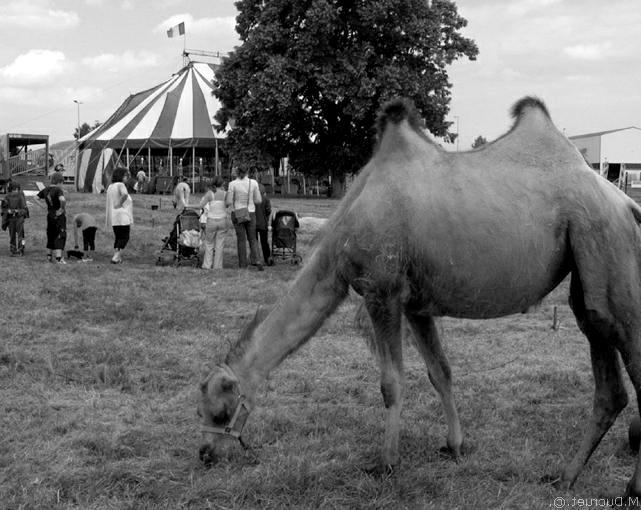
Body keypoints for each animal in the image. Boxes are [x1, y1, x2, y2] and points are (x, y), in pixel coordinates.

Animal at [200, 97, 641, 496]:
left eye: (221, 412)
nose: (205, 454)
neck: (341, 239)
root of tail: (626, 203)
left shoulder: (382, 291)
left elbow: (391, 383)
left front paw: (386, 464)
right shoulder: (416, 305)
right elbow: (440, 372)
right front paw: (454, 446)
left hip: (603, 241)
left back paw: (626, 486)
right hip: (587, 274)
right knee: (608, 376)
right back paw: (565, 478)